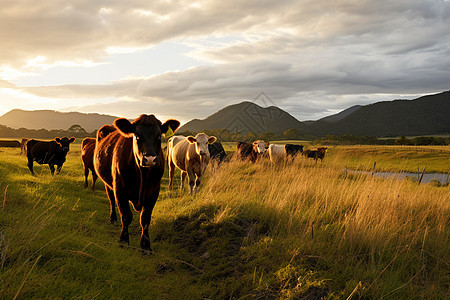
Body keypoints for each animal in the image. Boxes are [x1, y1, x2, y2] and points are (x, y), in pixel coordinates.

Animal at [93, 113, 179, 250]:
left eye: (159, 136)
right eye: (137, 136)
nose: (150, 159)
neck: (142, 174)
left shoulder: (154, 191)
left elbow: (145, 218)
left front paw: (146, 246)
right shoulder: (120, 189)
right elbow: (126, 216)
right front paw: (123, 240)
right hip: (108, 183)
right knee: (111, 199)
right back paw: (113, 218)